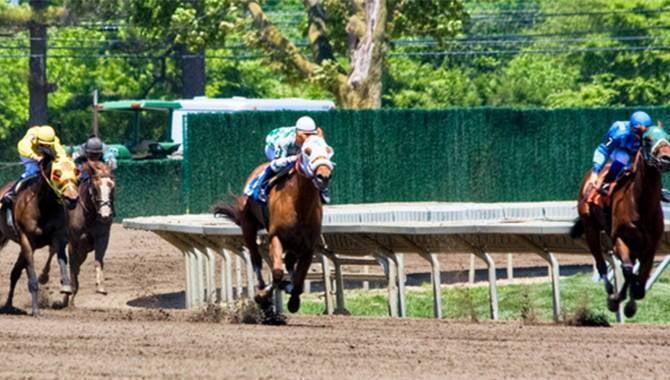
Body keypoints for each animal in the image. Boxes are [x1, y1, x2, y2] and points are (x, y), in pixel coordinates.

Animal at [0, 151, 79, 314]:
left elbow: (61, 259)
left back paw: (9, 304)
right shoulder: (26, 240)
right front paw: (35, 309)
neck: (43, 206)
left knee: (15, 273)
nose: (72, 199)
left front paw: (66, 285)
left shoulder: (58, 236)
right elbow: (31, 275)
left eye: (76, 171)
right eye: (57, 173)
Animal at [40, 160, 115, 306]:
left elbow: (97, 261)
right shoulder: (73, 243)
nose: (105, 215)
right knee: (53, 252)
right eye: (95, 187)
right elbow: (72, 266)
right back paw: (44, 277)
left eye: (113, 187)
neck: (88, 214)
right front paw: (70, 293)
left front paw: (100, 287)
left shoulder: (102, 239)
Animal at [217, 135, 334, 316]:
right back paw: (263, 287)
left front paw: (294, 300)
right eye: (307, 151)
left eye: (328, 150)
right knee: (256, 258)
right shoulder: (276, 237)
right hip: (248, 226)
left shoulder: (308, 246)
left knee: (290, 263)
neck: (299, 205)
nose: (324, 176)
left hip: (293, 244)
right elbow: (277, 273)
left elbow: (299, 280)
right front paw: (262, 296)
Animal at [572, 127, 670, 318]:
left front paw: (631, 300)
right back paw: (610, 289)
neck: (641, 204)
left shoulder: (651, 244)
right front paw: (617, 300)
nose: (666, 158)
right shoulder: (620, 238)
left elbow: (641, 274)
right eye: (647, 139)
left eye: (668, 137)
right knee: (601, 262)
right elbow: (627, 270)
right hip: (590, 228)